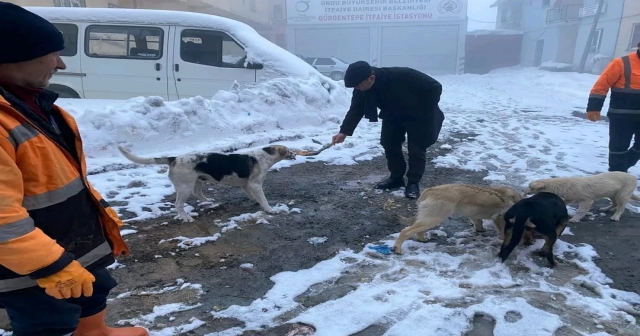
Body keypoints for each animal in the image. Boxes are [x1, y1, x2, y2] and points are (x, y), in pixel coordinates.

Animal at [117, 146, 298, 222]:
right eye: (288, 149)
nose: (295, 154)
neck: (265, 155)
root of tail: (174, 158)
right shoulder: (255, 184)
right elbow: (264, 200)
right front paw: (271, 210)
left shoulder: (246, 185)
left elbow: (253, 196)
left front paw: (256, 202)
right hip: (185, 187)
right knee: (178, 204)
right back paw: (186, 217)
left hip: (198, 181)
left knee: (197, 194)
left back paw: (208, 201)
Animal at [390, 184, 524, 255]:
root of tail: (428, 191)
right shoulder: (500, 217)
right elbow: (503, 231)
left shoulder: (474, 215)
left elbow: (478, 222)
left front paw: (480, 230)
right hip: (434, 218)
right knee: (406, 231)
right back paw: (397, 249)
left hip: (428, 217)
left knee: (417, 230)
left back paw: (422, 239)